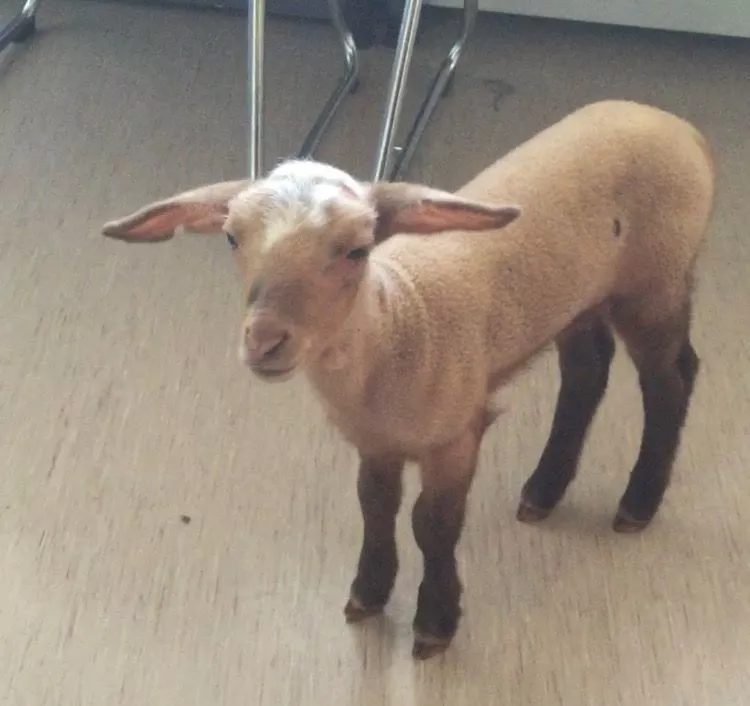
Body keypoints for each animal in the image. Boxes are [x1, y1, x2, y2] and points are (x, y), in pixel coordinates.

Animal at [101, 100, 716, 660]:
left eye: (357, 250)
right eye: (231, 238)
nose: (265, 341)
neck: (398, 320)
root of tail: (676, 125)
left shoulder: (456, 436)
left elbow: (433, 525)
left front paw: (436, 622)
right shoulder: (374, 443)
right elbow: (374, 507)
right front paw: (368, 593)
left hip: (655, 280)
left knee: (671, 378)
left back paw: (638, 503)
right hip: (579, 295)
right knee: (587, 370)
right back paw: (544, 489)